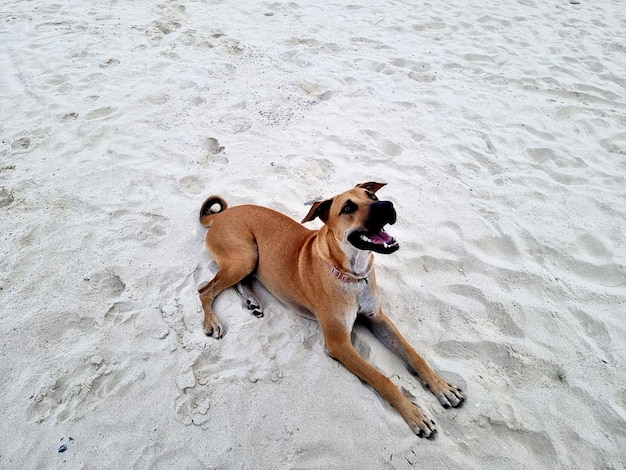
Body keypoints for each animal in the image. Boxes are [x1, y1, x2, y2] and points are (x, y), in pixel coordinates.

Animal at [197, 181, 460, 436]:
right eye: (348, 208)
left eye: (372, 196)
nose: (387, 205)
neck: (353, 276)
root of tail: (223, 214)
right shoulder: (339, 344)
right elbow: (382, 379)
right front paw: (413, 414)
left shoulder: (378, 319)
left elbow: (414, 354)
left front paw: (441, 386)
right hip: (245, 256)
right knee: (204, 290)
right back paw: (212, 322)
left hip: (248, 261)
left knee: (236, 282)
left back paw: (251, 300)